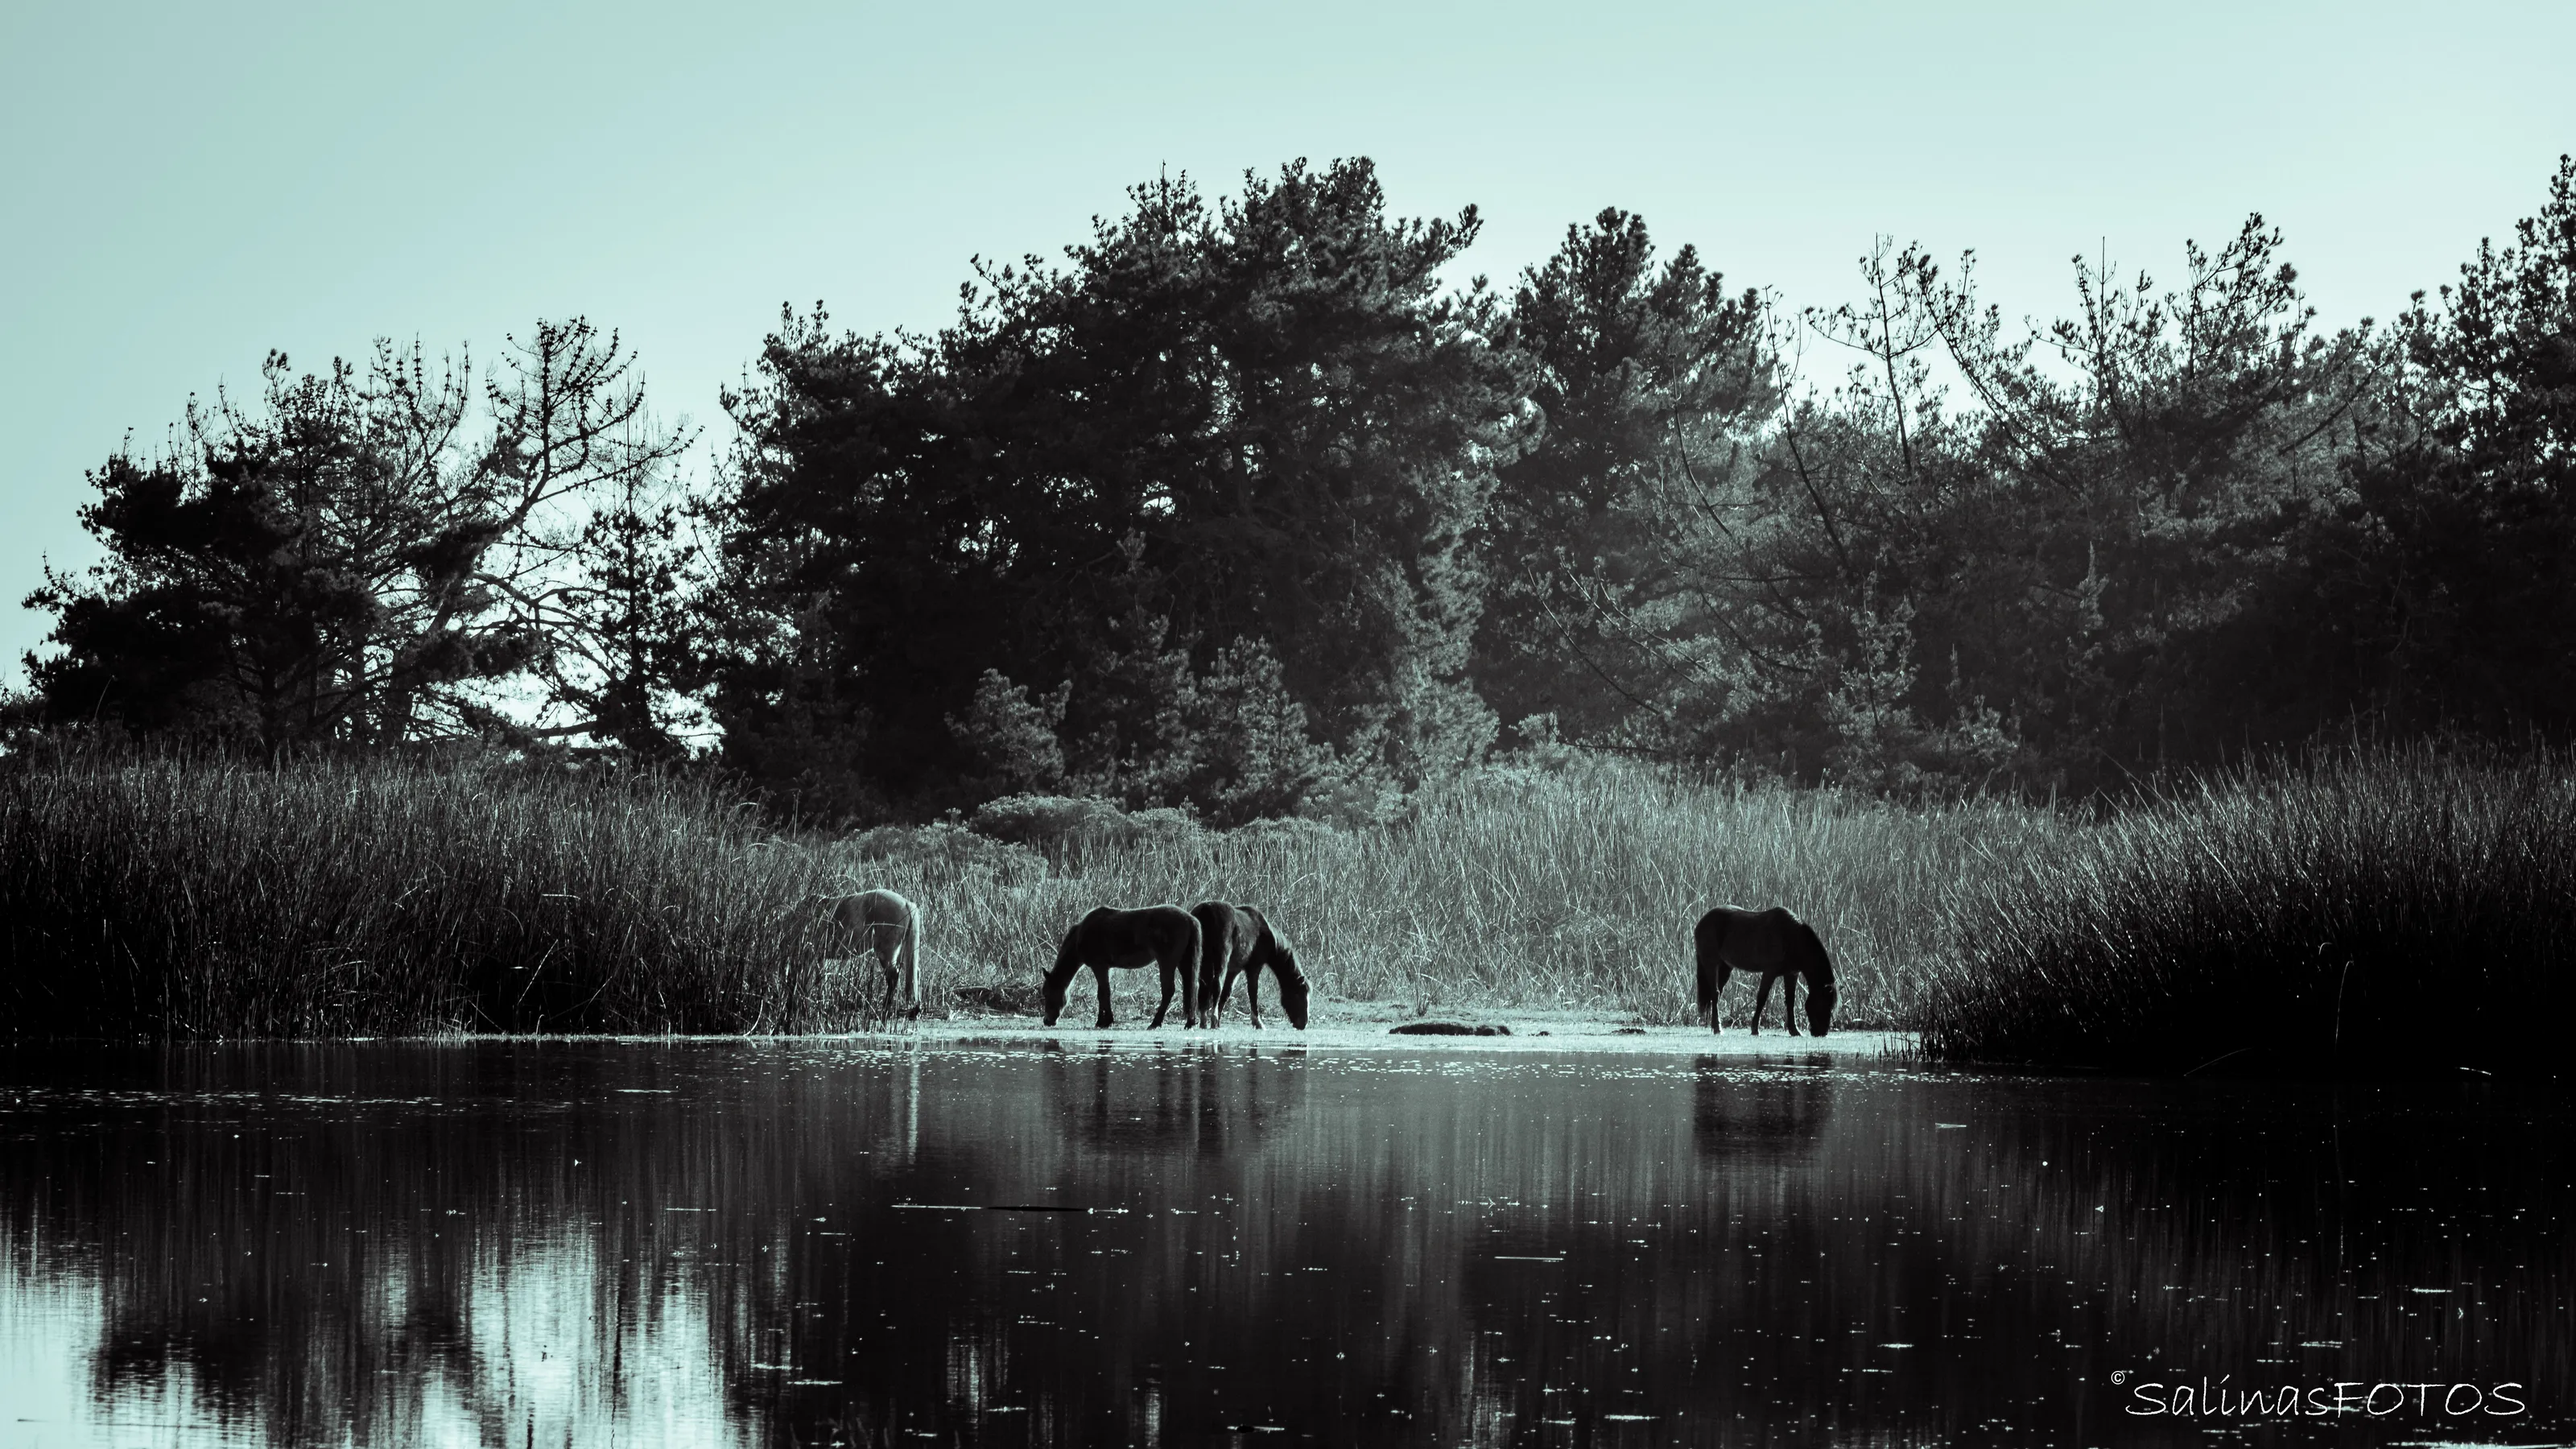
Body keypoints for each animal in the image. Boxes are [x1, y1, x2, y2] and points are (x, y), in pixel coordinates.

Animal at [826, 889, 924, 1018]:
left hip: (886, 954)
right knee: (913, 973)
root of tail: (907, 903)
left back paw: (885, 1009)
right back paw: (915, 1009)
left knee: (893, 976)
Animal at [1042, 905, 1206, 1029]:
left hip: (1167, 962)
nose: (1047, 1021)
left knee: (1168, 990)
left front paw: (1104, 1021)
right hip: (1183, 962)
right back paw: (1189, 1022)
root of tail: (1190, 919)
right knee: (1192, 986)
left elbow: (1103, 993)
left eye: (1047, 993)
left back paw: (1155, 1022)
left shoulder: (1099, 966)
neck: (1082, 934)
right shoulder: (1106, 968)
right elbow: (1103, 992)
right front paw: (1102, 1021)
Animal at [1190, 901, 1310, 1030]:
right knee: (1217, 985)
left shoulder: (1234, 971)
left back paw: (1204, 1021)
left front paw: (1218, 1022)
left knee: (1204, 986)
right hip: (1220, 960)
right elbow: (1253, 993)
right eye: (1299, 995)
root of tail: (1206, 910)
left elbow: (1226, 993)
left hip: (1205, 962)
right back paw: (1213, 1018)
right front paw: (1258, 1022)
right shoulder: (1254, 968)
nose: (1303, 1024)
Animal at [1694, 905, 1837, 1036]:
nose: (1821, 1033)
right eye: (1823, 1003)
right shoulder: (1769, 972)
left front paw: (1794, 1030)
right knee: (1715, 993)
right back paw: (1717, 1028)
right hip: (1711, 964)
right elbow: (1762, 998)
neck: (1791, 937)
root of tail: (1702, 921)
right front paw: (1755, 1029)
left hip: (1725, 967)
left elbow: (1790, 1001)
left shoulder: (1791, 974)